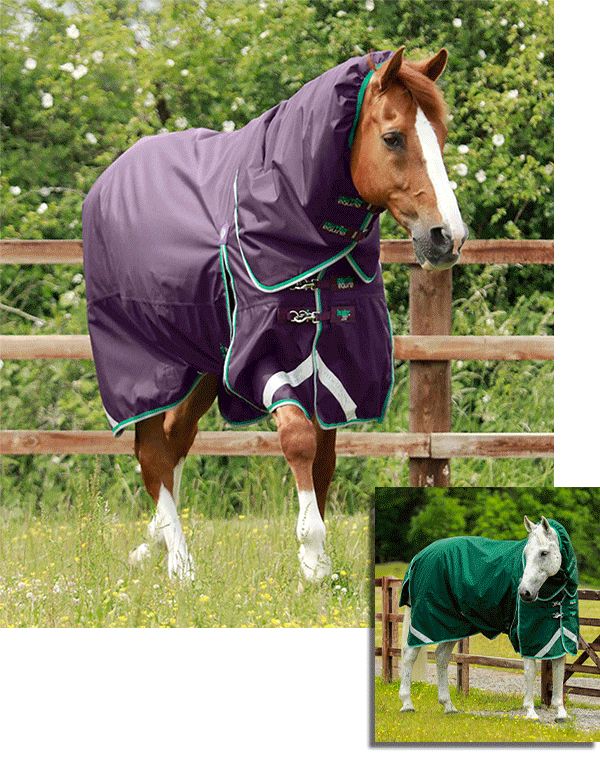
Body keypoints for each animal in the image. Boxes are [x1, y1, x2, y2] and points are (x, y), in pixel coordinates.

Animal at [82, 46, 468, 582]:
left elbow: (325, 457)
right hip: (146, 363)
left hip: (203, 364)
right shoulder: (261, 357)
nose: (447, 236)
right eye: (393, 137)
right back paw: (180, 565)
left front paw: (321, 562)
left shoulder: (335, 365)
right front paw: (312, 555)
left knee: (174, 440)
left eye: (443, 134)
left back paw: (154, 545)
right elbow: (300, 440)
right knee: (152, 450)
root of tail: (107, 182)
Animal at [398, 517, 579, 722]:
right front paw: (531, 712)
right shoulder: (527, 635)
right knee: (409, 653)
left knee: (441, 656)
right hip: (426, 621)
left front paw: (561, 712)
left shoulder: (558, 635)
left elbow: (559, 669)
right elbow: (531, 671)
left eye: (544, 553)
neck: (556, 594)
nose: (524, 593)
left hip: (451, 626)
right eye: (525, 553)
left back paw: (448, 705)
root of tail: (419, 556)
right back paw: (407, 703)